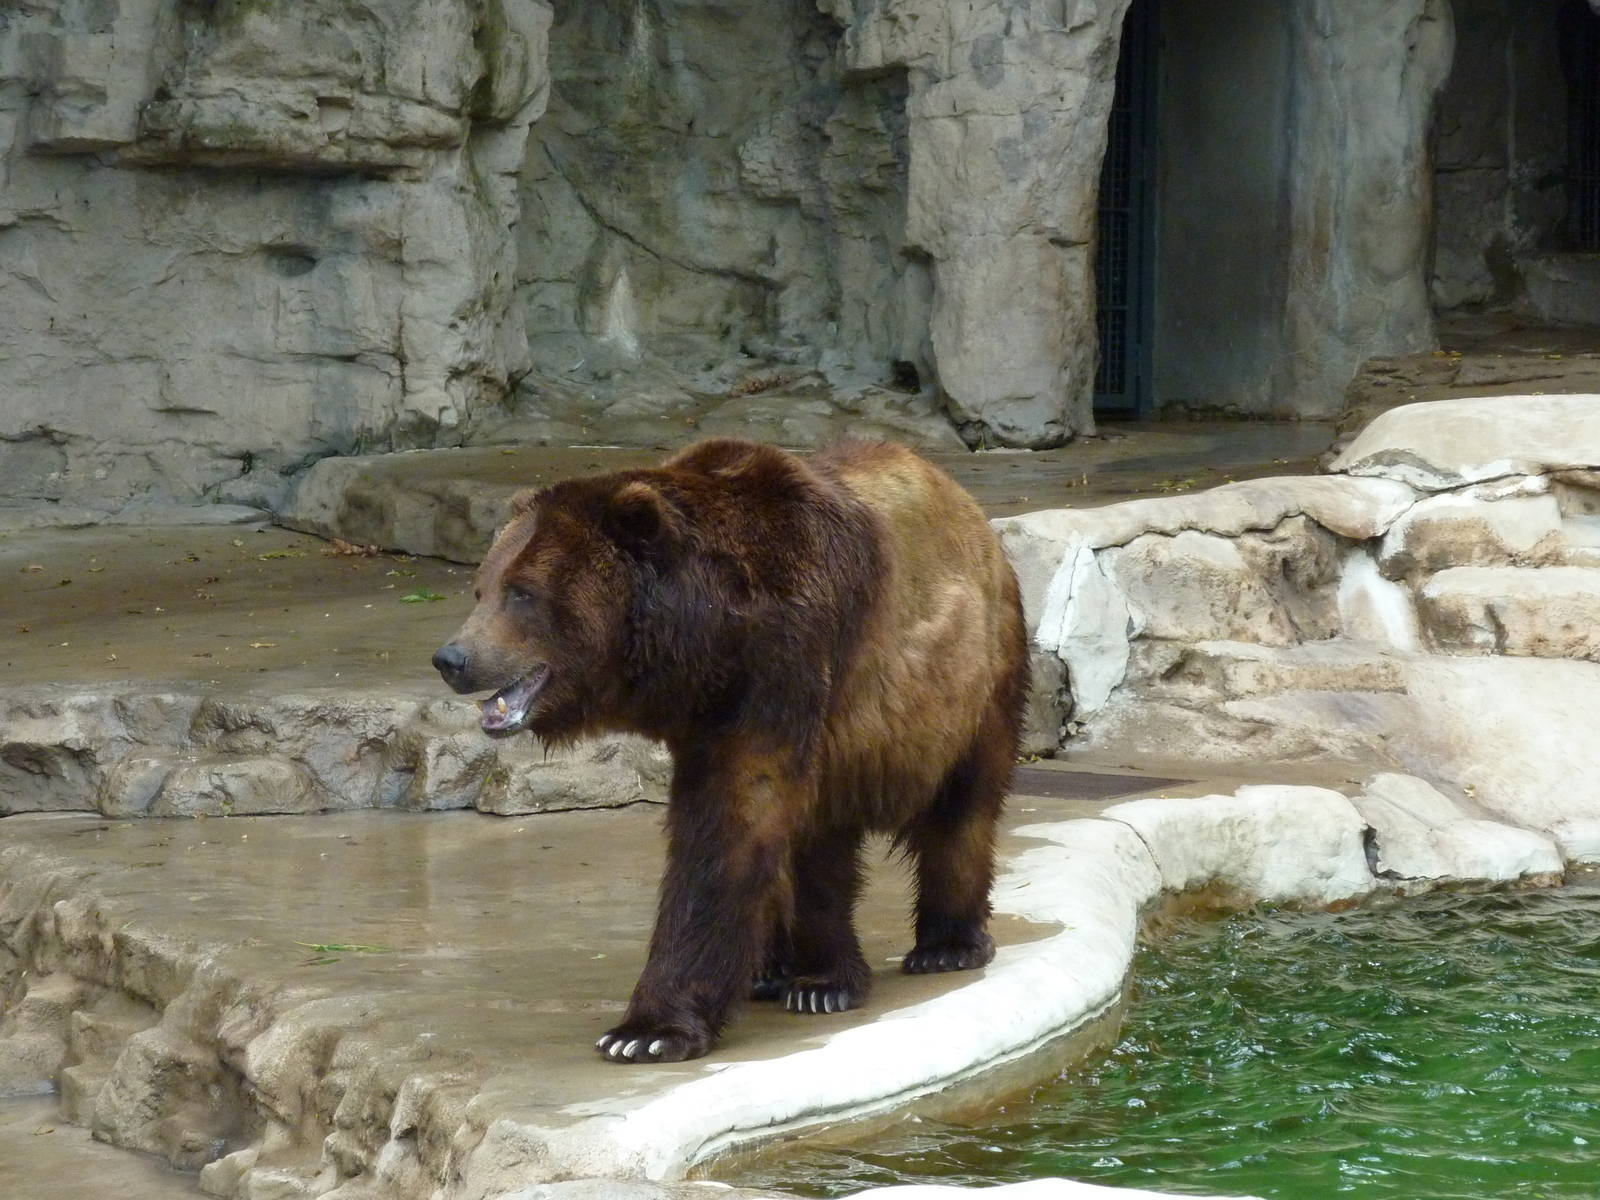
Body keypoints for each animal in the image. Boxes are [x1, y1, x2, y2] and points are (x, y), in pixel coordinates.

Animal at [432, 438, 1029, 1063]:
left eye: (522, 592)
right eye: (482, 588)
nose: (452, 658)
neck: (707, 637)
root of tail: (971, 511)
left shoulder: (783, 664)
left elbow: (729, 828)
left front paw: (644, 1032)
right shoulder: (707, 716)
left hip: (972, 679)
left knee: (960, 806)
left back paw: (939, 947)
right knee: (823, 837)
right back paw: (795, 973)